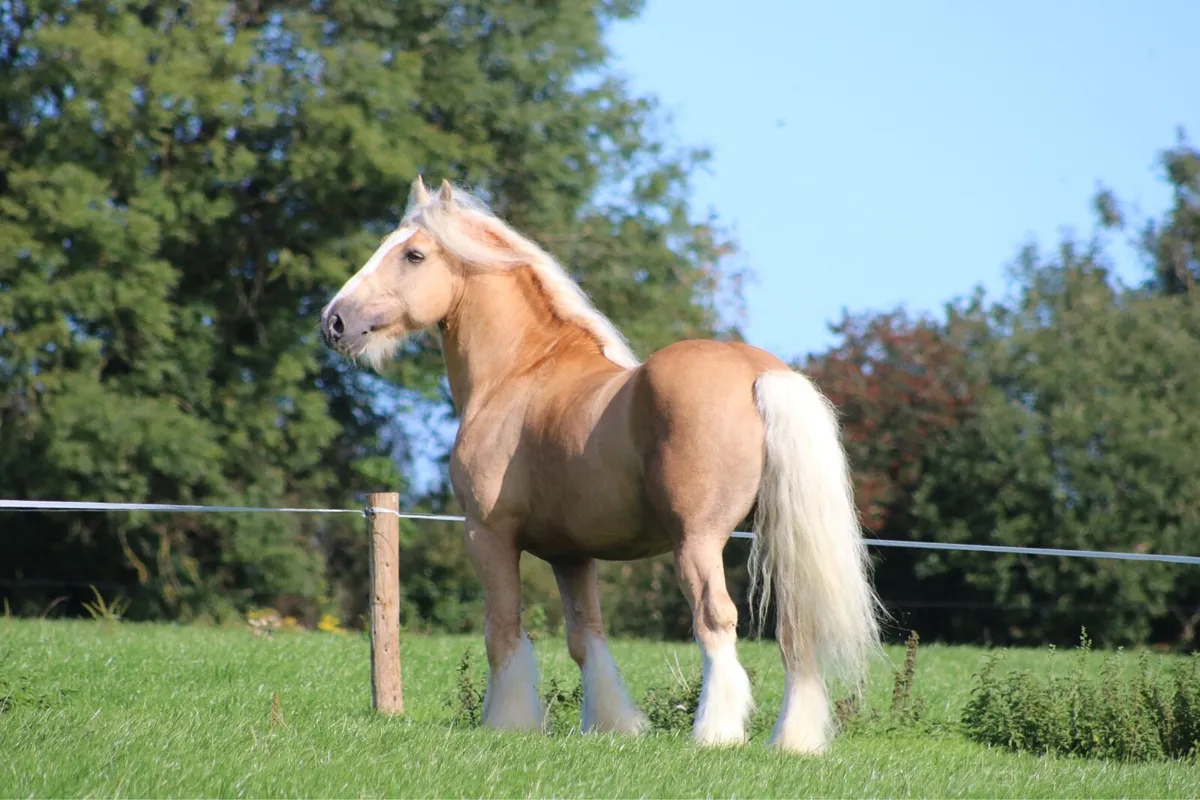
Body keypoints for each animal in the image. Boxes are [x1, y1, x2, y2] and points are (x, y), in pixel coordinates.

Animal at [320, 176, 882, 754]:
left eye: (413, 254)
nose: (335, 321)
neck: (519, 373)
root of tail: (759, 374)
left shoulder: (488, 535)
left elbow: (503, 632)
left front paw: (510, 722)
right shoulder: (571, 555)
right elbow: (585, 638)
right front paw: (613, 723)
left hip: (697, 542)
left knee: (715, 620)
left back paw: (716, 732)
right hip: (778, 538)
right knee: (796, 630)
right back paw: (794, 739)